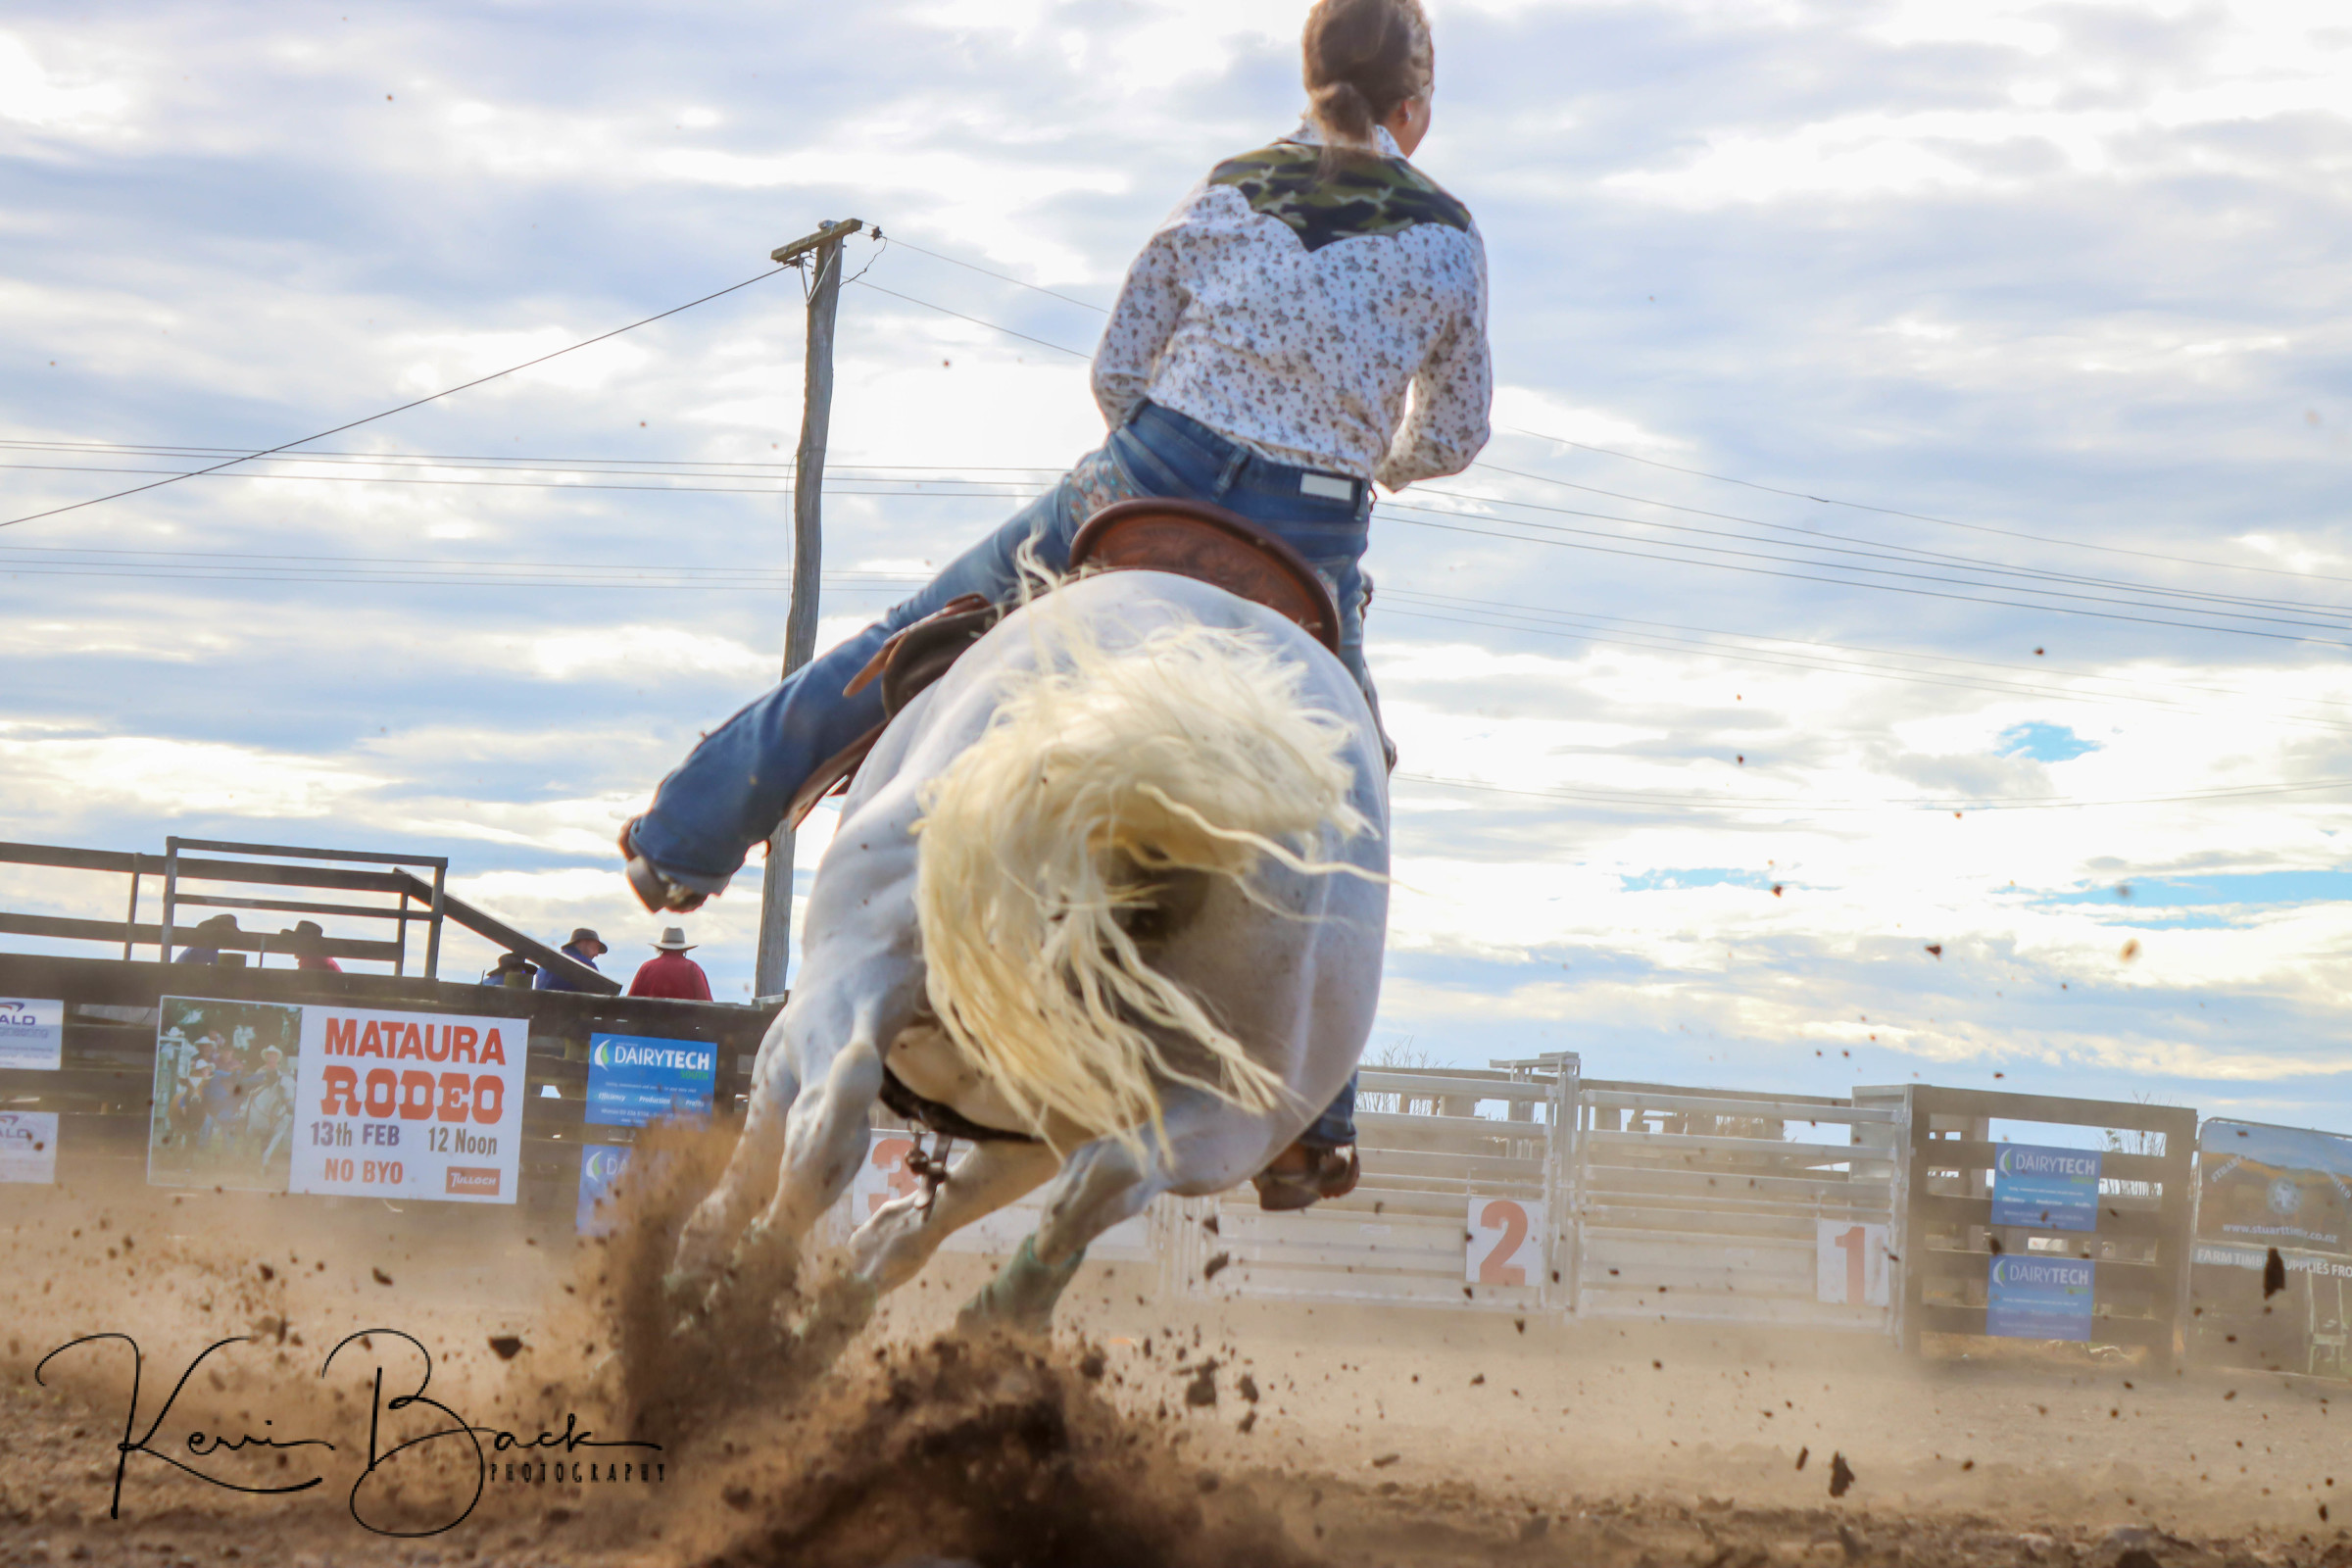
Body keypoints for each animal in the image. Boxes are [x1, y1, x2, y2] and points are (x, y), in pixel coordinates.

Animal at [662, 563, 1390, 1338]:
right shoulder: (1035, 1130)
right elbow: (918, 1224)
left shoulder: (790, 1037)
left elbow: (762, 1167)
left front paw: (703, 1273)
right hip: (1233, 1107)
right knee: (1104, 1182)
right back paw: (989, 1320)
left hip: (860, 963)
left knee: (831, 1123)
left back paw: (725, 1307)